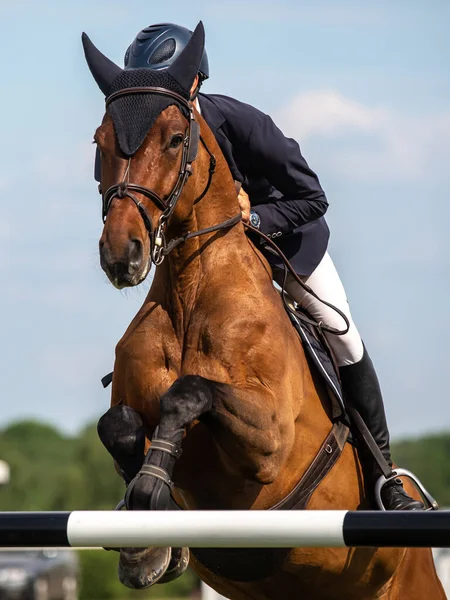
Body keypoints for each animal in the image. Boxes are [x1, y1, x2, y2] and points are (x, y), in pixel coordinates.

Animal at [81, 22, 446, 600]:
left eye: (176, 139)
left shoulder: (269, 438)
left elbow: (190, 392)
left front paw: (151, 492)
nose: (122, 254)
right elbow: (116, 422)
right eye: (99, 142)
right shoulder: (130, 403)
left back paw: (397, 496)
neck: (190, 291)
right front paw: (146, 534)